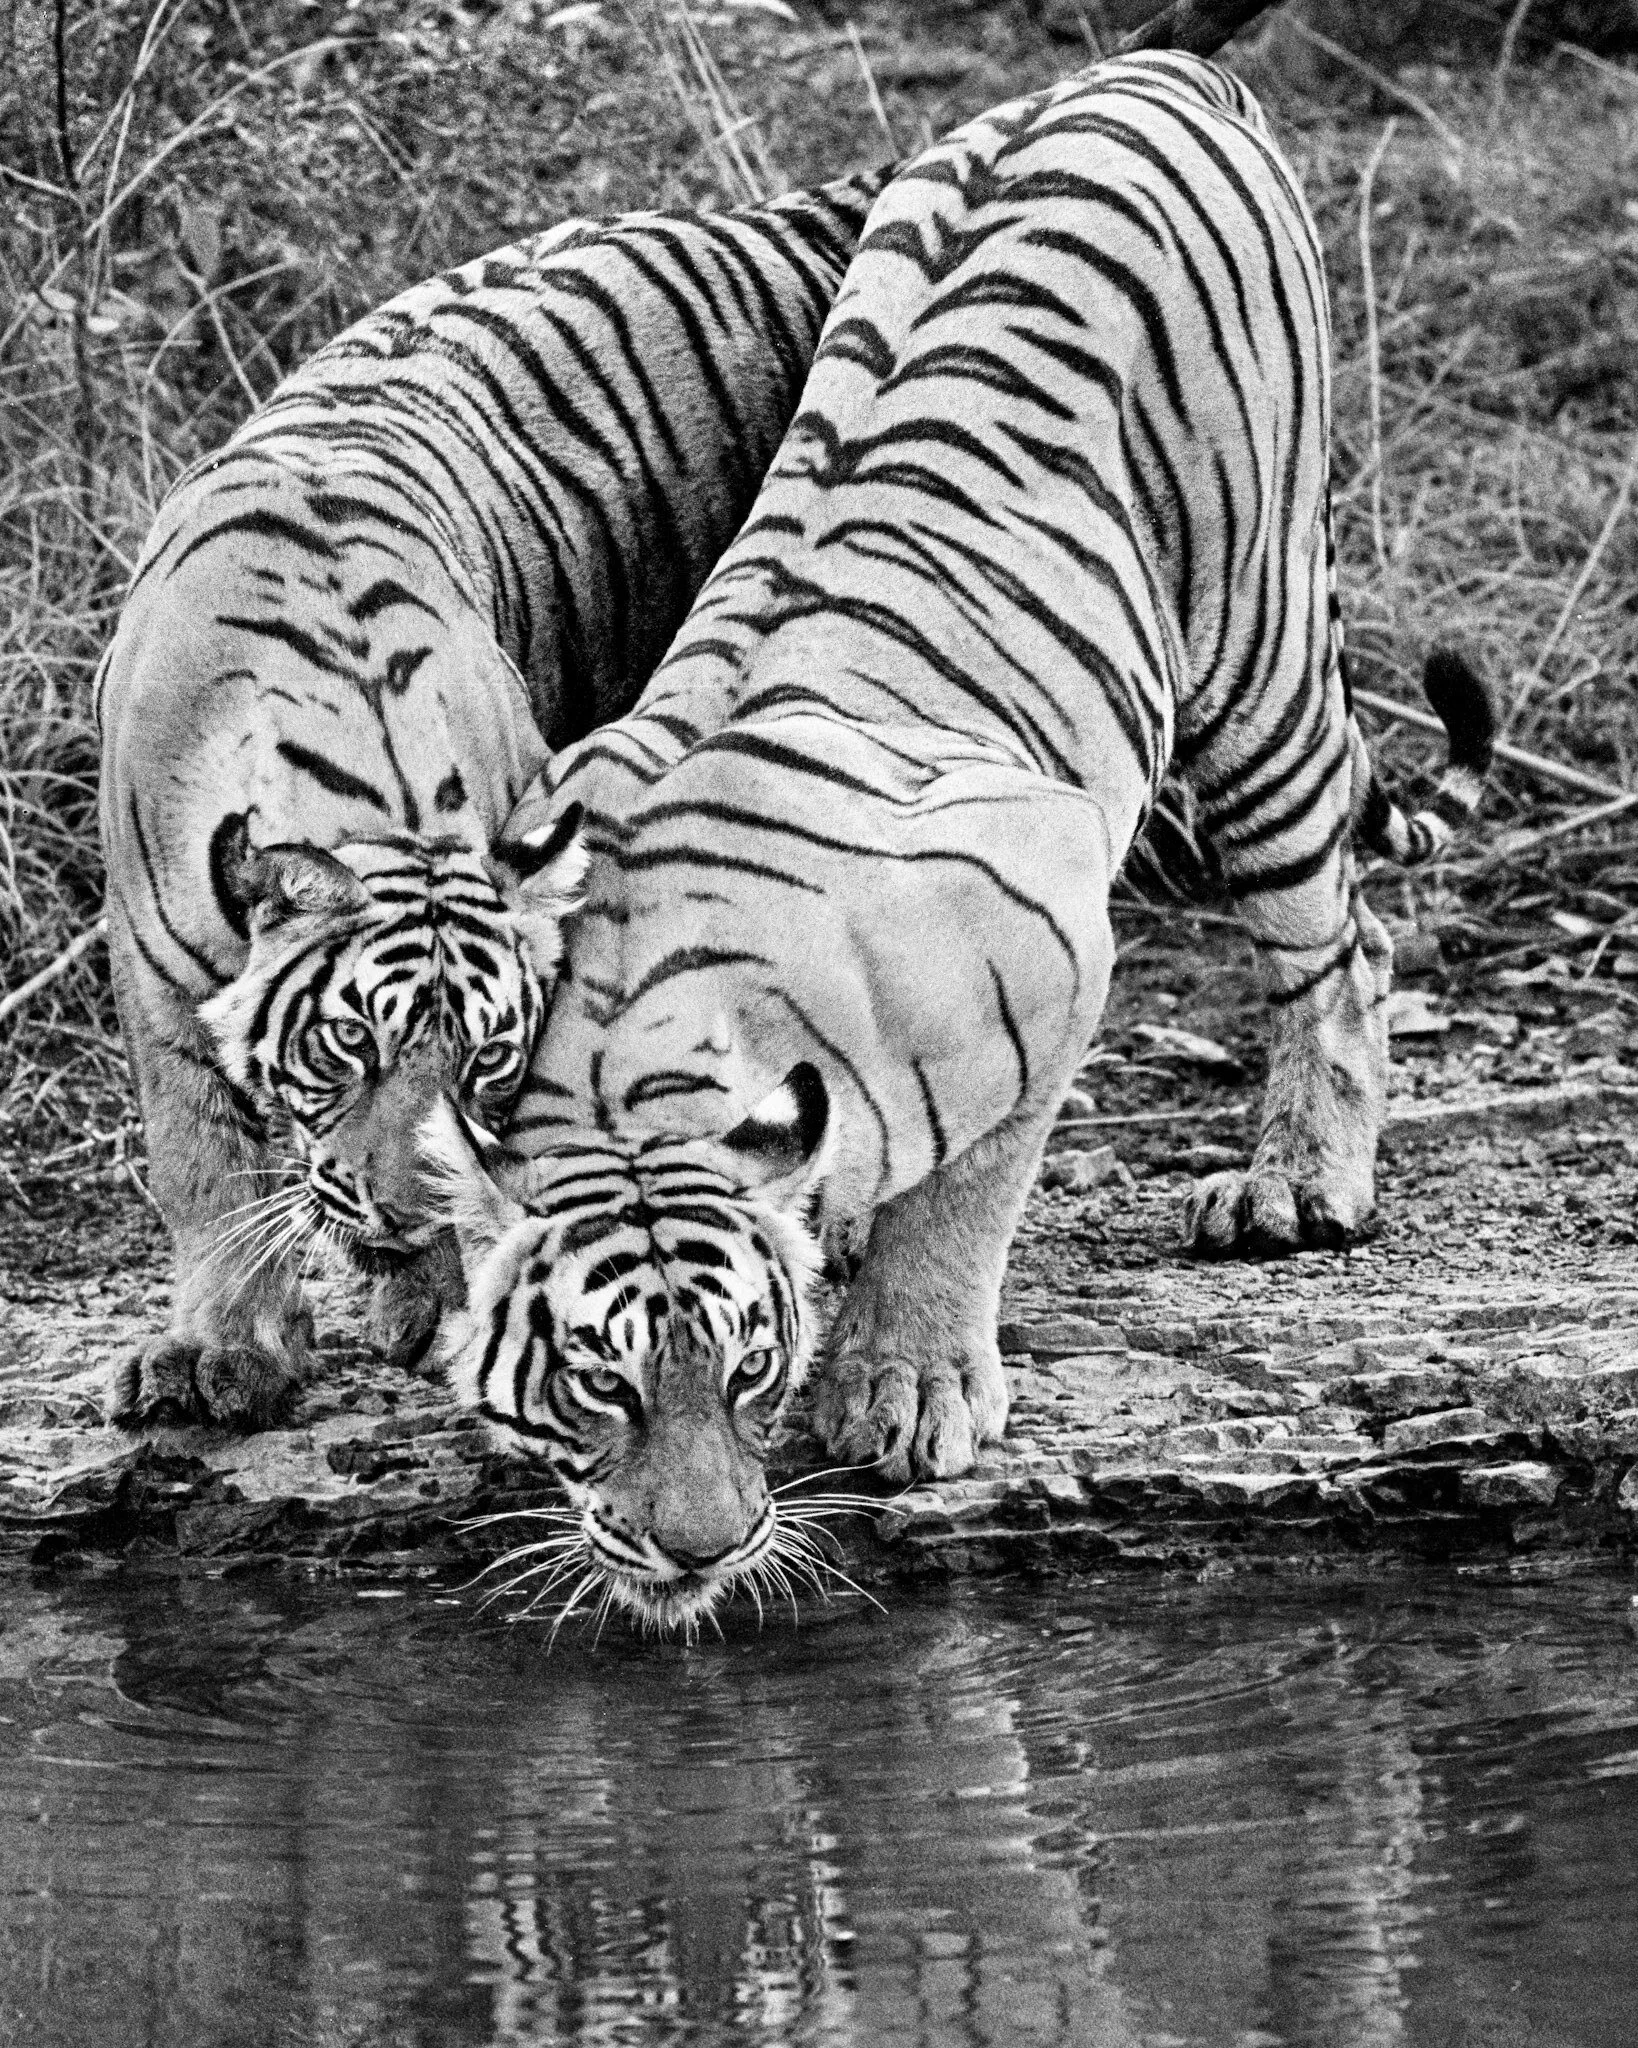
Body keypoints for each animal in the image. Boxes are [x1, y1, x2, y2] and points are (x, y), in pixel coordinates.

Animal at [96, 167, 894, 1429]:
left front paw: (433, 1298)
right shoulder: (152, 965)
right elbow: (201, 1161)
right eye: (348, 1043)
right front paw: (220, 1349)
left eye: (487, 1058)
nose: (409, 1213)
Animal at [424, 51, 1495, 1633]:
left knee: (1336, 943)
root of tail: (1158, 63)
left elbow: (968, 1186)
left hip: (1255, 654)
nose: (697, 1549)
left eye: (746, 1366)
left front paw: (906, 1382)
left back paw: (1298, 1183)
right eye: (593, 1383)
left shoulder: (1051, 921)